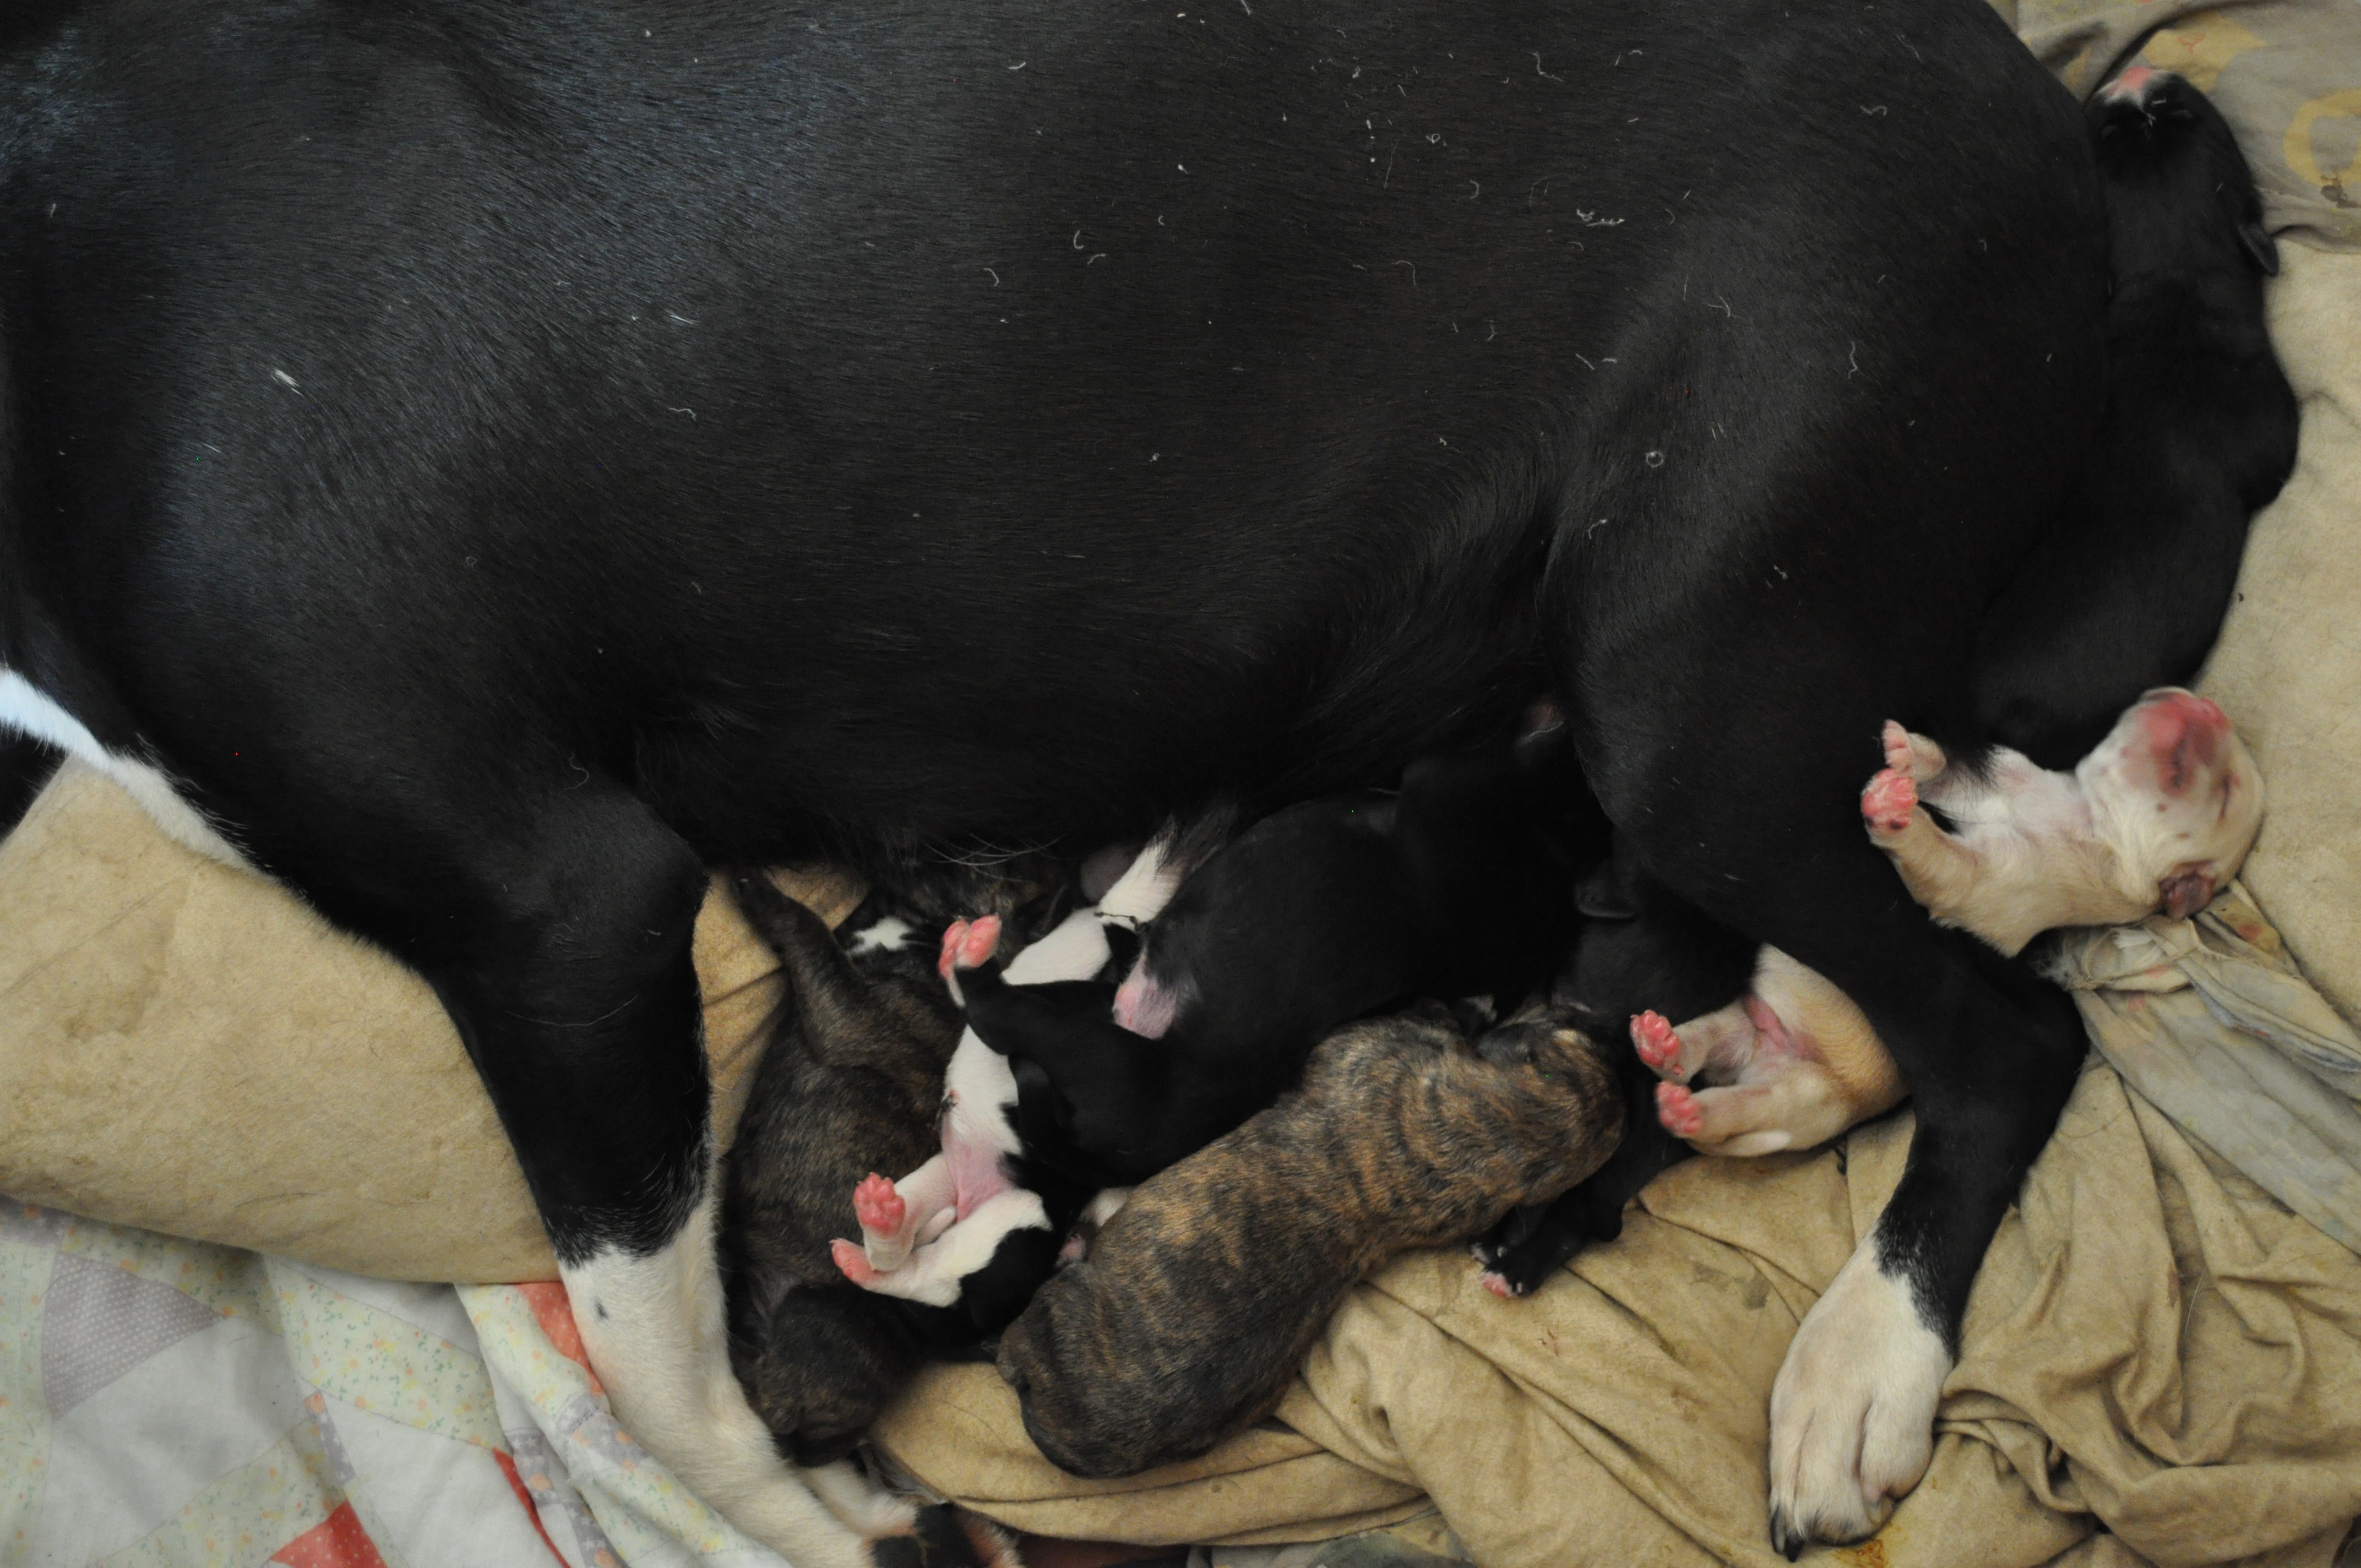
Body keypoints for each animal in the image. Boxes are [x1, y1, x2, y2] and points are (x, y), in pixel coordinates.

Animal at [946, 725, 1586, 1187]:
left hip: (1090, 1048)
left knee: (991, 1011)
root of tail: (1121, 1163)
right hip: (1089, 1005)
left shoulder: (1445, 786)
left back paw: (968, 953)